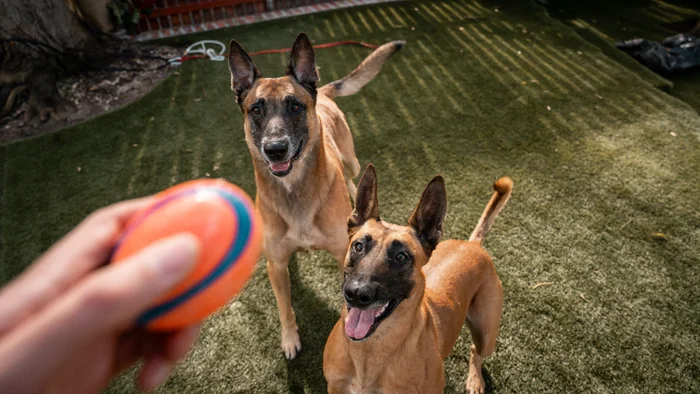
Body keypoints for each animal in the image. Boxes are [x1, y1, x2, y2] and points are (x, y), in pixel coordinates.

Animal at [228, 34, 404, 360]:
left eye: (295, 106)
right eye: (256, 109)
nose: (275, 149)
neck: (295, 192)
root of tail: (320, 91)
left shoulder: (342, 255)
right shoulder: (276, 265)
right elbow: (285, 307)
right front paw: (289, 338)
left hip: (351, 159)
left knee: (351, 176)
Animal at [324, 163, 516, 394]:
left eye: (401, 256)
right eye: (358, 246)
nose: (356, 293)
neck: (370, 348)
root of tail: (472, 245)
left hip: (487, 334)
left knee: (475, 349)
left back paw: (475, 379)